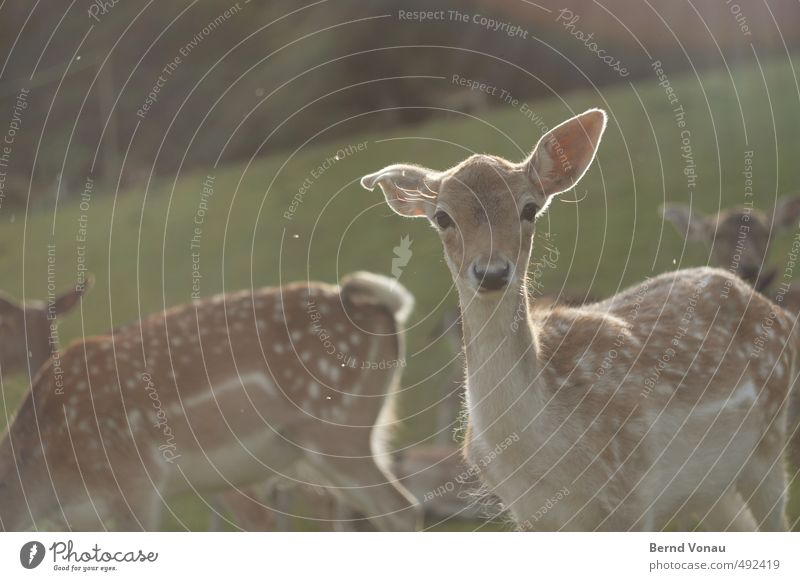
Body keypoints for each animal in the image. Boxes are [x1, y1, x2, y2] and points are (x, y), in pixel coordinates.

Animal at [364, 109, 800, 532]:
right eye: (442, 217)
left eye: (529, 208)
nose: (491, 272)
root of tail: (775, 309)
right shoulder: (527, 513)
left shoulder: (630, 496)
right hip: (710, 487)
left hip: (769, 439)